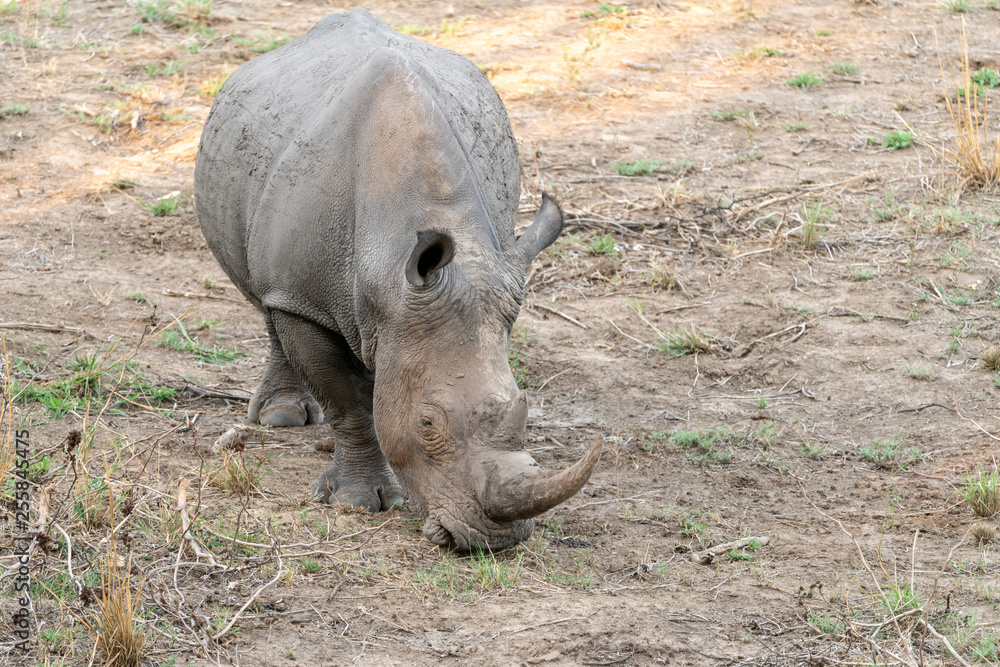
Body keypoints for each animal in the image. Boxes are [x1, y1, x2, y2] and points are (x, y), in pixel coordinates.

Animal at [194, 9, 601, 550]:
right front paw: (355, 502)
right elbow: (346, 399)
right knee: (270, 303)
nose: (496, 539)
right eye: (427, 424)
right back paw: (281, 418)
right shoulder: (306, 297)